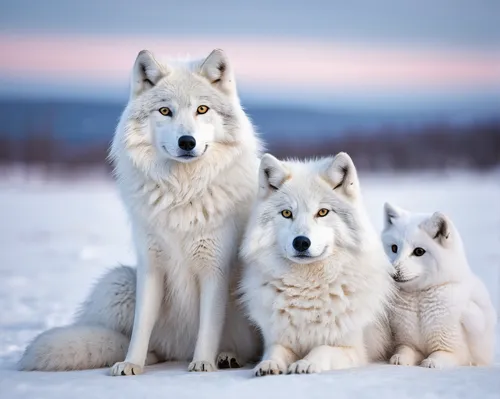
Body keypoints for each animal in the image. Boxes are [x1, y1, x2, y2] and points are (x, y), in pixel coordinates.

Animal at [19, 49, 262, 376]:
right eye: (165, 111)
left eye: (202, 109)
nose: (187, 142)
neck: (182, 194)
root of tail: (178, 351)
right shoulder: (150, 266)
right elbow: (140, 326)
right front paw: (131, 364)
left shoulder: (215, 268)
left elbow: (209, 326)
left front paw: (202, 363)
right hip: (118, 282)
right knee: (135, 341)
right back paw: (150, 357)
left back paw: (226, 357)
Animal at [238, 152, 394, 376]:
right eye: (287, 213)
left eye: (322, 212)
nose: (301, 242)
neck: (306, 287)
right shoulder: (277, 340)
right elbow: (275, 351)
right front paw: (268, 365)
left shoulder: (353, 349)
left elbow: (322, 349)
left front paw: (305, 363)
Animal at [382, 205, 496, 370]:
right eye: (394, 248)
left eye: (419, 251)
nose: (392, 272)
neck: (419, 297)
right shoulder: (407, 341)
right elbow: (404, 350)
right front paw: (400, 358)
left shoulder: (453, 349)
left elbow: (439, 355)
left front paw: (432, 362)